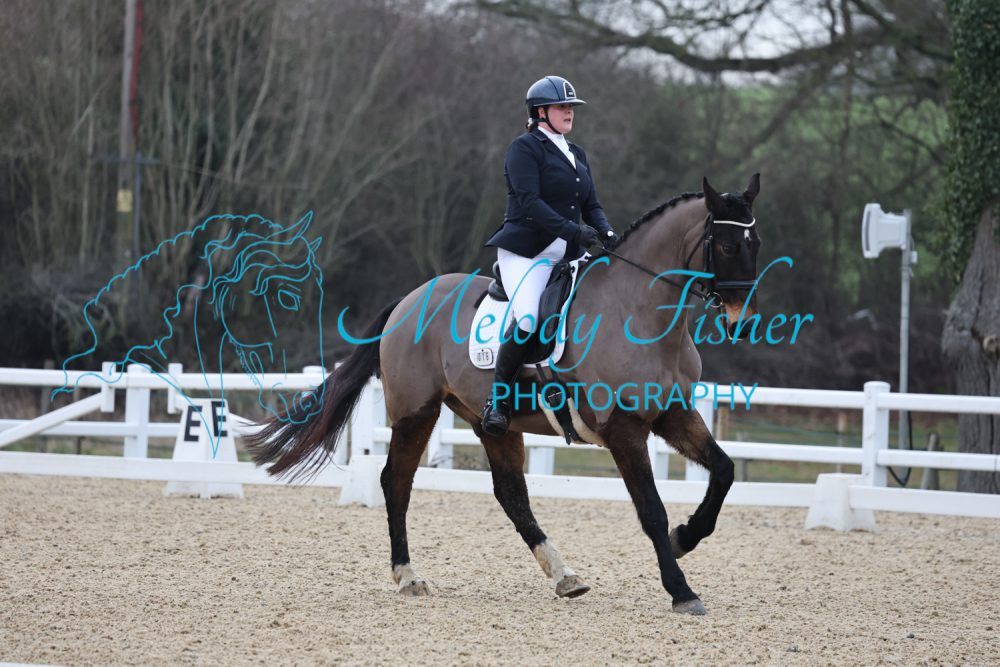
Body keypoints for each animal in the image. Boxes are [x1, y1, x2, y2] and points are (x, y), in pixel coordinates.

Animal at [248, 175, 763, 614]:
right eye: (726, 245)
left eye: (756, 244)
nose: (744, 322)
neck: (638, 313)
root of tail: (410, 298)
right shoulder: (624, 429)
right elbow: (651, 511)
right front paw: (681, 590)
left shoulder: (673, 415)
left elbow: (723, 471)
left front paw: (686, 536)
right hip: (416, 413)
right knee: (397, 482)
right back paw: (408, 577)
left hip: (490, 421)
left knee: (511, 493)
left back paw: (564, 576)